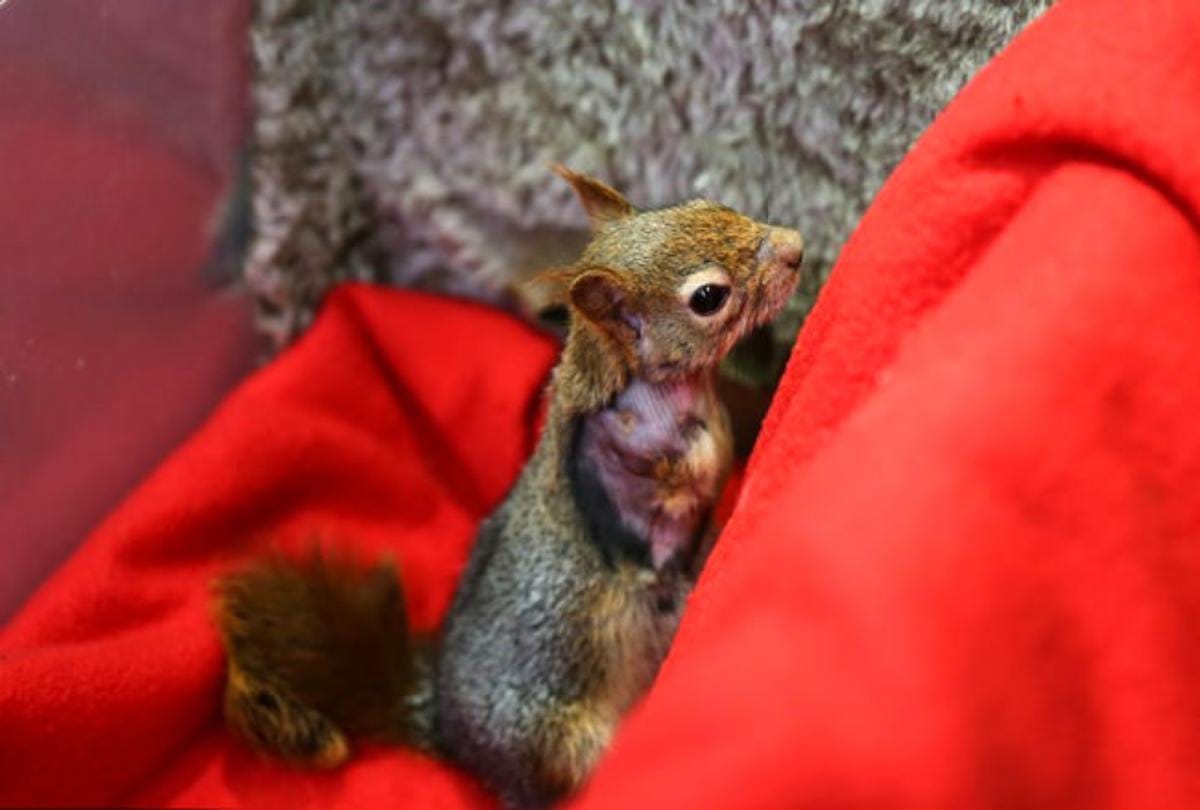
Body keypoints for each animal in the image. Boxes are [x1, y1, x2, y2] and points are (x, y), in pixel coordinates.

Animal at [213, 166, 804, 808]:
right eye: (707, 297)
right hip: (565, 745)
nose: (796, 246)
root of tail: (452, 735)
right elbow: (669, 500)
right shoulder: (627, 471)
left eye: (704, 203)